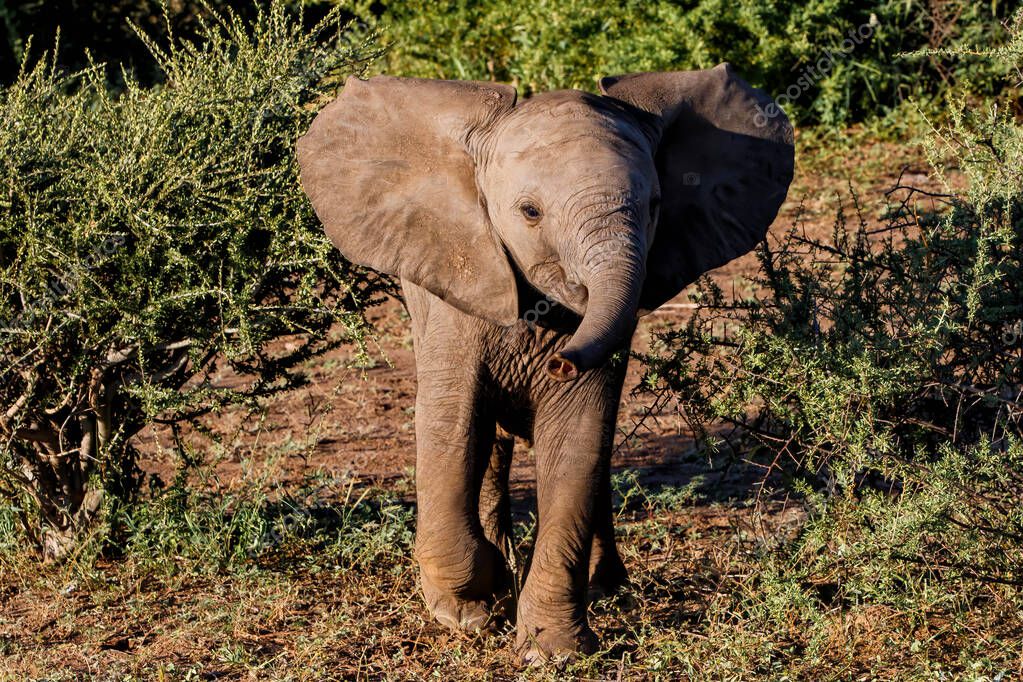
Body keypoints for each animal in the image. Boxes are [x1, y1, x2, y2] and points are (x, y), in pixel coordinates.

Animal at [296, 63, 789, 662]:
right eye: (530, 212)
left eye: (654, 207)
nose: (561, 363)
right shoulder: (456, 288)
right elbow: (450, 423)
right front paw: (468, 610)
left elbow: (578, 439)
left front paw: (550, 649)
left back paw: (606, 589)